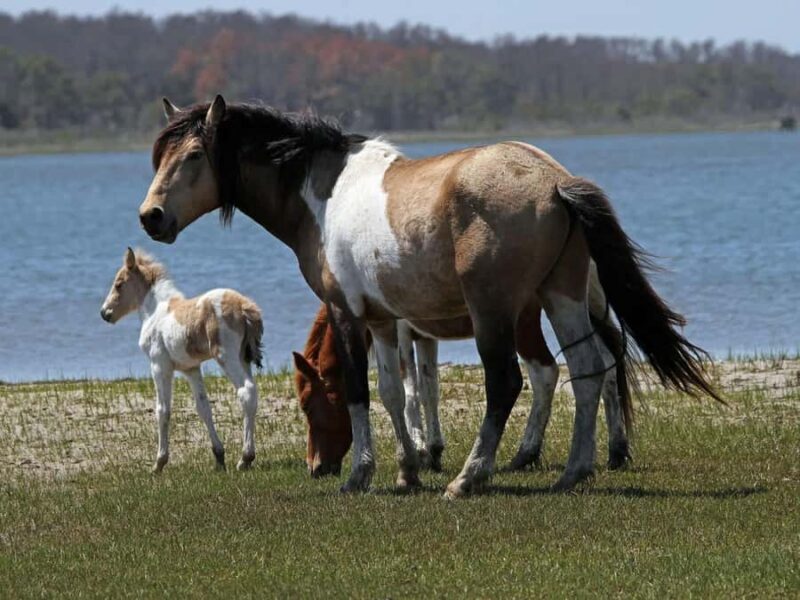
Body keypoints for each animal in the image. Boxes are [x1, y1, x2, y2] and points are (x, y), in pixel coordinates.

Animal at [100, 248, 264, 472]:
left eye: (118, 284)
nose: (104, 313)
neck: (155, 311)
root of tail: (245, 306)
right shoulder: (191, 368)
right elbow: (203, 408)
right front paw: (219, 457)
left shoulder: (159, 365)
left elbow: (163, 410)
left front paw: (159, 463)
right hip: (242, 358)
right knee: (251, 393)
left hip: (226, 356)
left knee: (246, 391)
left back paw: (245, 458)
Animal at [294, 294, 633, 478]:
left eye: (307, 406)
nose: (315, 467)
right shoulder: (424, 337)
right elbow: (429, 387)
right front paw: (433, 450)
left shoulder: (400, 334)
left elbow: (409, 390)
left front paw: (418, 448)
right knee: (606, 362)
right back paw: (616, 450)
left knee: (548, 374)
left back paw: (527, 453)